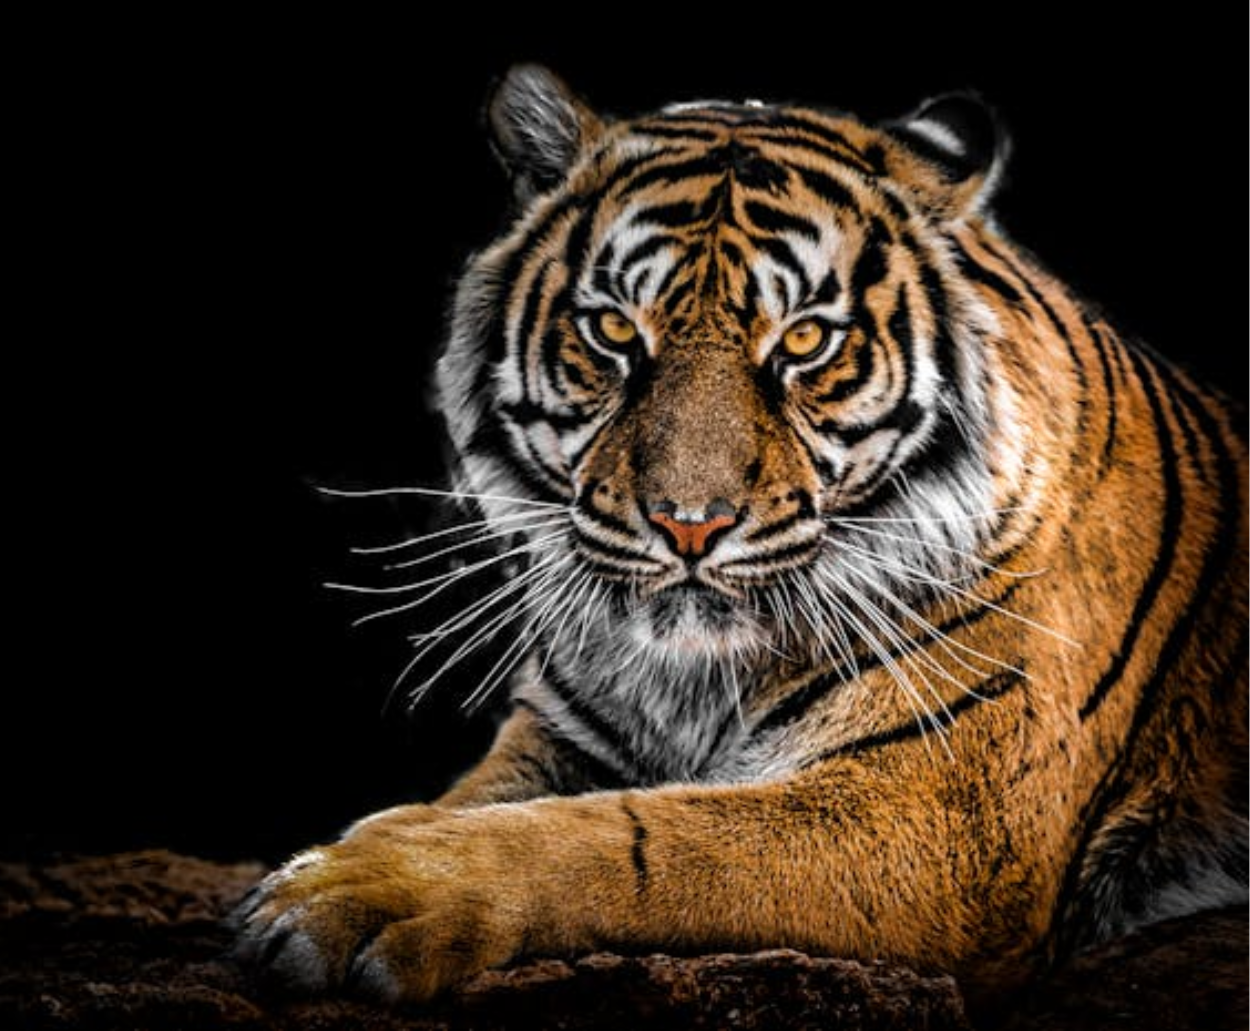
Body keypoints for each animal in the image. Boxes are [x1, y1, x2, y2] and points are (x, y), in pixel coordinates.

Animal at [232, 64, 1248, 1013]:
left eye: (803, 341)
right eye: (613, 330)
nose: (691, 523)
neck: (692, 679)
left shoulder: (946, 817)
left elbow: (633, 837)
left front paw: (353, 892)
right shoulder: (559, 734)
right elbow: (478, 803)